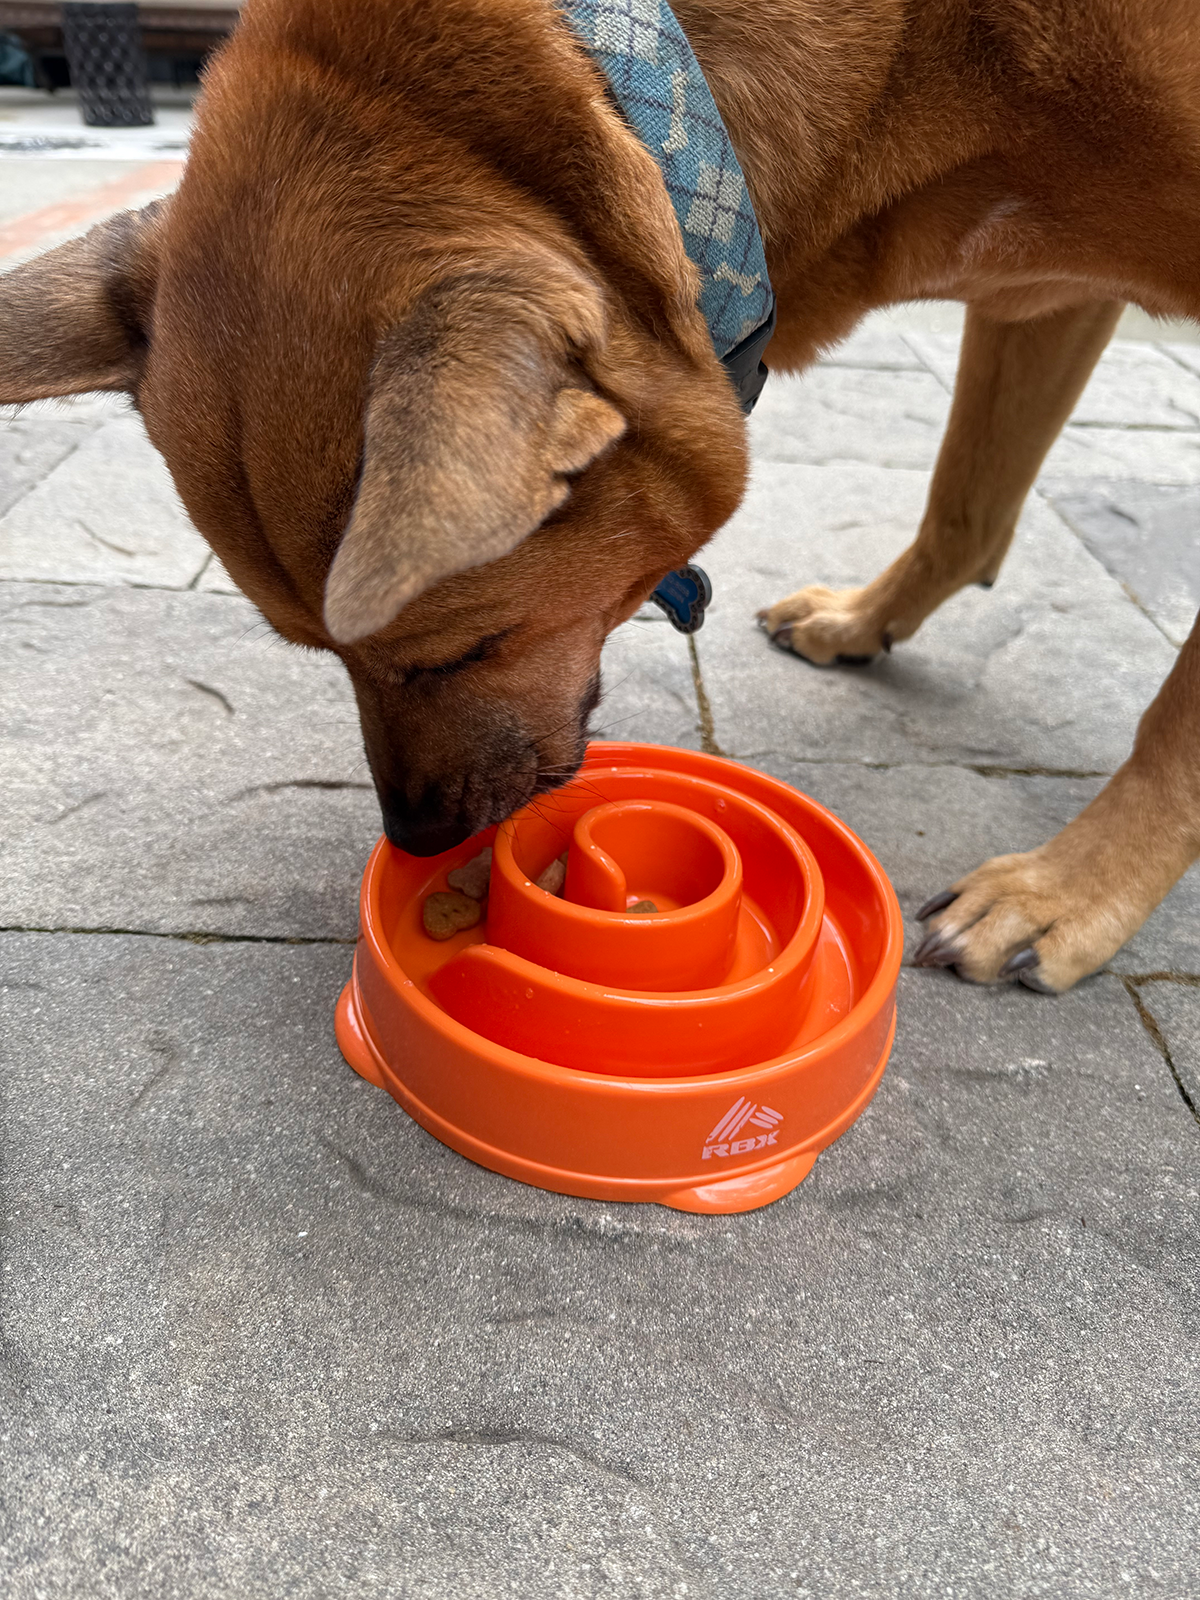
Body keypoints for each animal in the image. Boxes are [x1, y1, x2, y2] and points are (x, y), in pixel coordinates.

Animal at [0, 0, 1196, 995]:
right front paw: (868, 616)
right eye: (320, 652)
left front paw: (1069, 893)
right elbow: (968, 502)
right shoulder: (1043, 296)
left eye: (460, 650)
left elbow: (1175, 712)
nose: (417, 839)